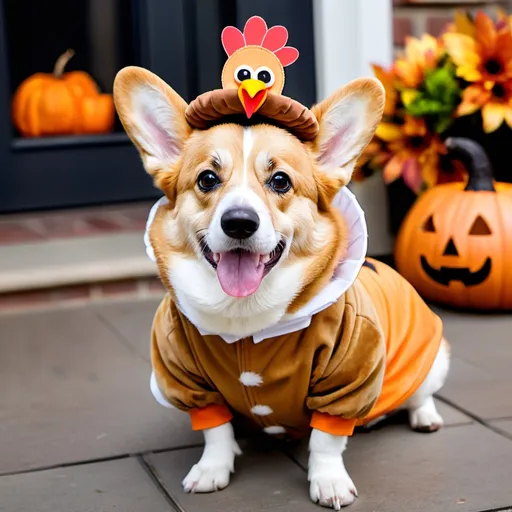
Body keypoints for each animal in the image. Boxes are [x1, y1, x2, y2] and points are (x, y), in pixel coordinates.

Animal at [114, 67, 450, 508]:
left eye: (279, 181)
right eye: (207, 178)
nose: (239, 222)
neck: (245, 320)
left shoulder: (347, 380)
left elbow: (326, 440)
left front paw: (329, 482)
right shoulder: (188, 381)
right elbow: (214, 431)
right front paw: (212, 468)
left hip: (432, 358)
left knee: (421, 393)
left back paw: (424, 417)